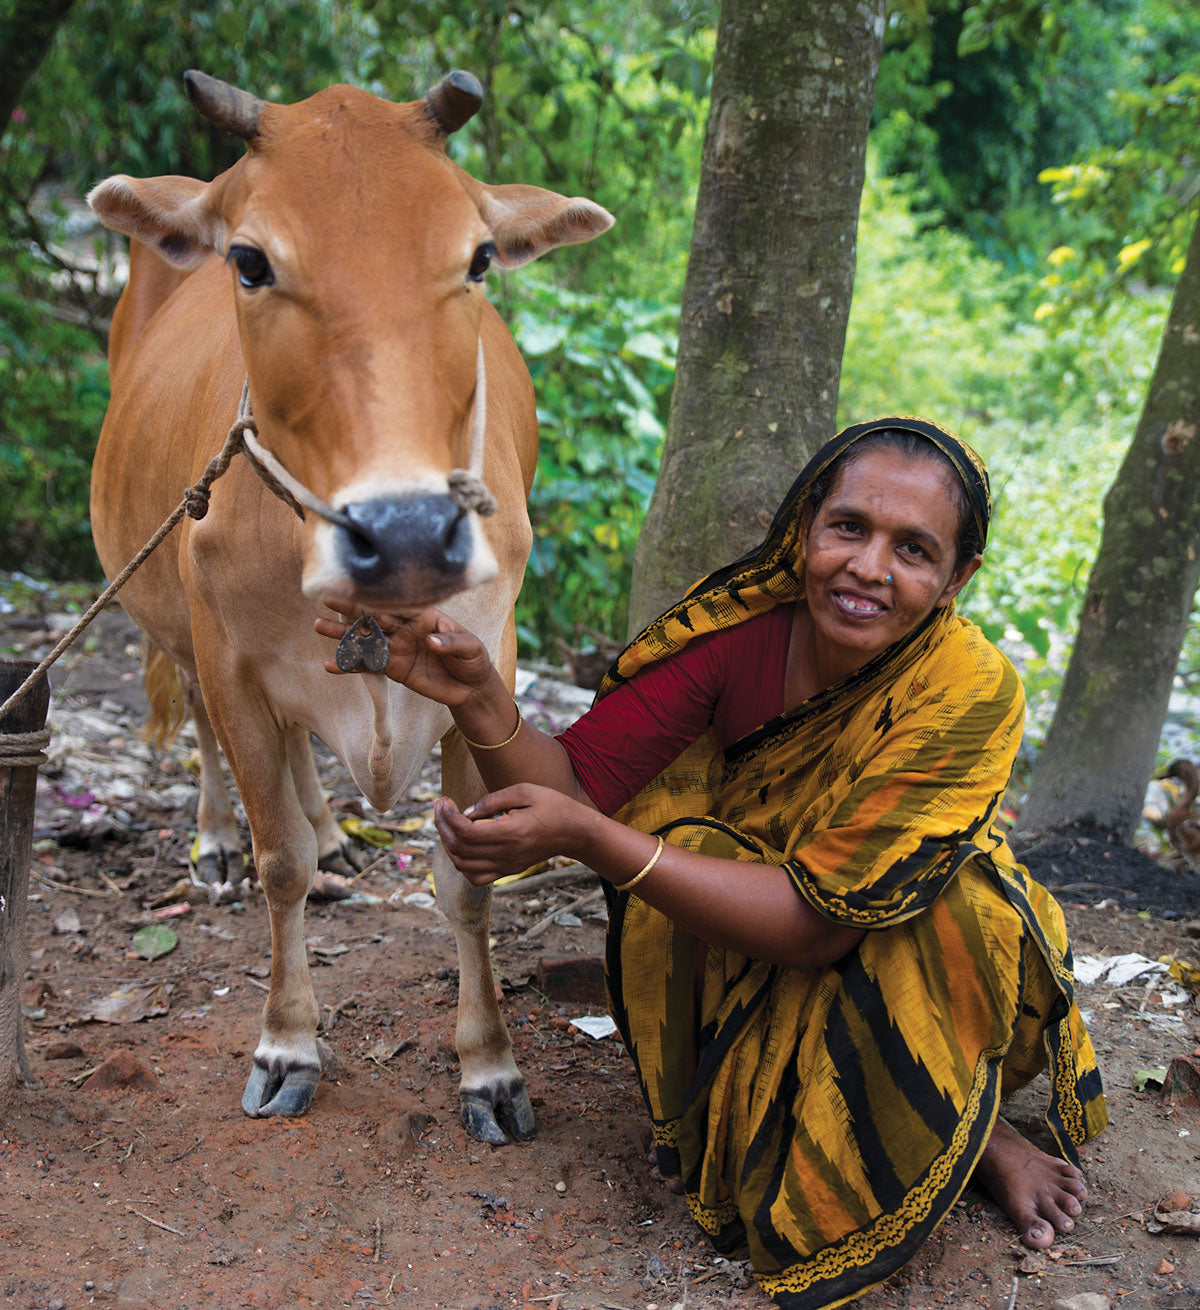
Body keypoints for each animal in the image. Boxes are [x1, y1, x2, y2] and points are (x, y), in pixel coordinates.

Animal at [85, 70, 613, 1141]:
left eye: (479, 258)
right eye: (249, 261)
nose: (406, 533)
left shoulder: (484, 664)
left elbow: (465, 881)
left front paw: (490, 1068)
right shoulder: (232, 662)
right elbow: (278, 861)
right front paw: (287, 1043)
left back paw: (337, 835)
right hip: (178, 627)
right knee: (212, 737)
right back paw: (218, 841)